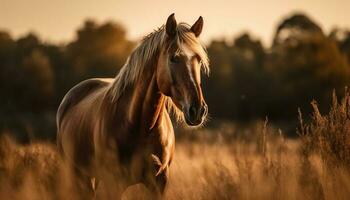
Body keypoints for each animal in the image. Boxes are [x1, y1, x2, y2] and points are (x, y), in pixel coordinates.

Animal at [56, 13, 209, 199]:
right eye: (173, 58)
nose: (197, 110)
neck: (141, 126)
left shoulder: (158, 183)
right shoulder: (114, 183)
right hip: (77, 174)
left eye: (199, 60)